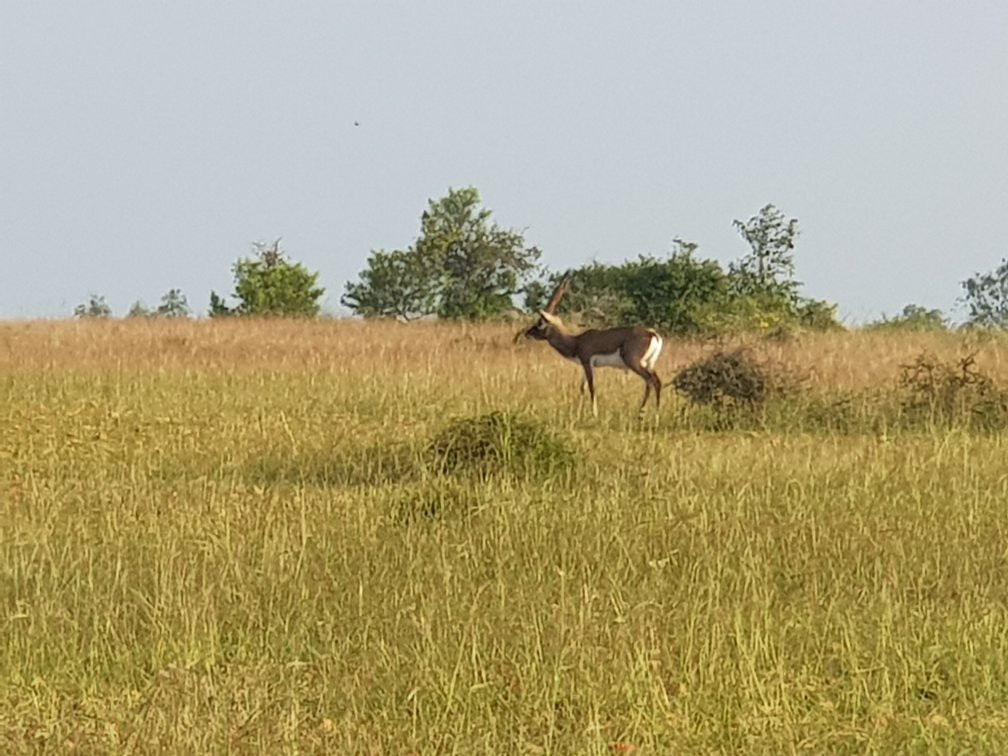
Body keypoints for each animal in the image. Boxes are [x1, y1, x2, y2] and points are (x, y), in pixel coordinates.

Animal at [520, 280, 661, 417]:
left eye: (540, 323)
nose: (527, 333)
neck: (576, 341)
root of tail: (652, 333)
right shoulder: (586, 365)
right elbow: (582, 388)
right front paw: (577, 415)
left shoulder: (587, 362)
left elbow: (592, 387)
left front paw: (594, 414)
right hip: (649, 364)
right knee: (657, 382)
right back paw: (654, 415)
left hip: (634, 363)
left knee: (650, 380)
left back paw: (644, 415)